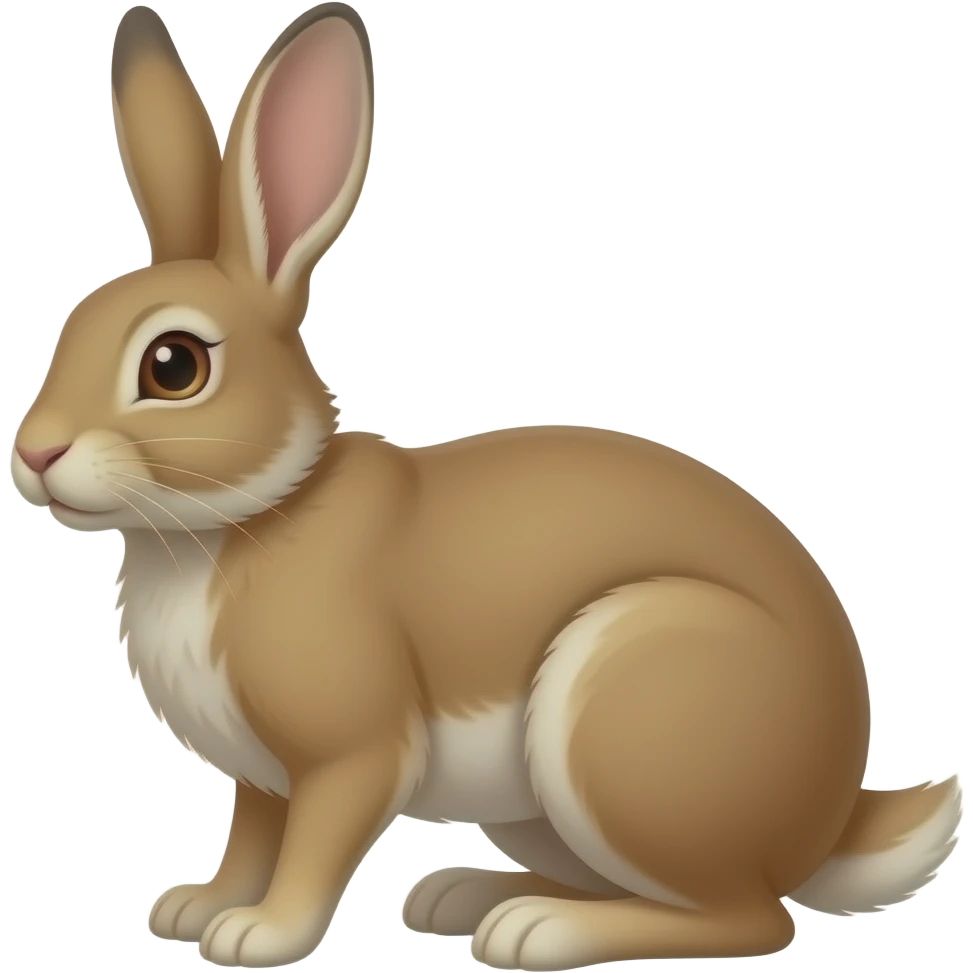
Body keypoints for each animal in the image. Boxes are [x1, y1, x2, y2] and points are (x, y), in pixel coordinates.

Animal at [9, 4, 964, 970]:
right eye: (71, 325)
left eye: (174, 366)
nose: (34, 452)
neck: (244, 518)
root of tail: (832, 817)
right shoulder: (262, 776)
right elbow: (251, 836)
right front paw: (196, 907)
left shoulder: (349, 754)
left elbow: (313, 844)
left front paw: (259, 933)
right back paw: (468, 894)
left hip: (621, 716)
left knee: (750, 917)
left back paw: (537, 930)